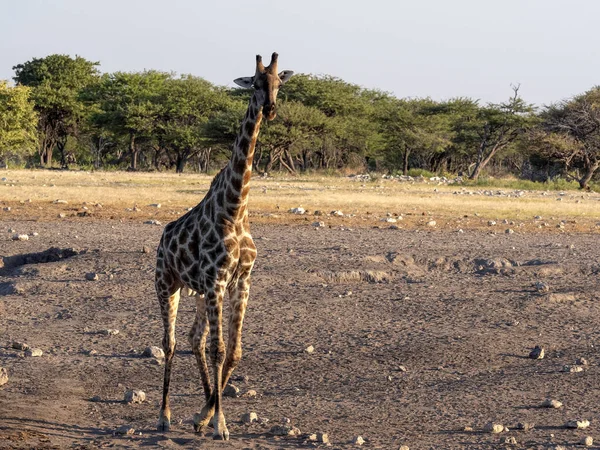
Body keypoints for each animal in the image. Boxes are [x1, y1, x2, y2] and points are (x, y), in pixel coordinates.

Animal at [155, 52, 292, 440]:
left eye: (279, 83)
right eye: (255, 83)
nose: (270, 109)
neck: (236, 207)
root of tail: (163, 237)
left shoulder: (240, 280)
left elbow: (233, 351)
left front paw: (206, 416)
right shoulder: (217, 280)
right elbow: (218, 349)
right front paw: (220, 424)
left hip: (199, 293)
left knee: (193, 339)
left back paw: (198, 409)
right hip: (166, 284)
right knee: (170, 343)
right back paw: (163, 416)